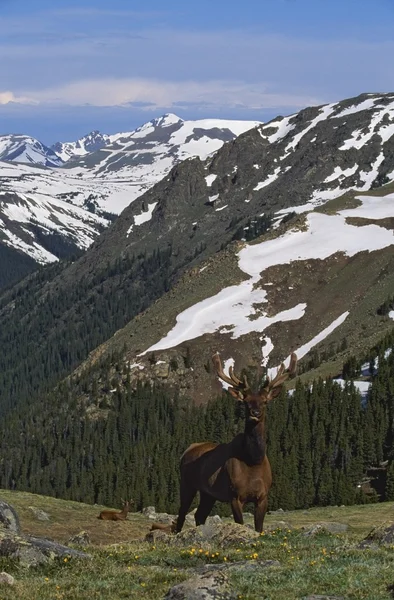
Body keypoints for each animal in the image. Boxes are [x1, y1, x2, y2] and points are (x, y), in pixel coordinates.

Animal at [175, 354, 296, 532]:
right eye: (245, 401)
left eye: (265, 401)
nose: (255, 413)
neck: (253, 461)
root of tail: (186, 451)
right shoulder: (234, 495)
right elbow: (240, 523)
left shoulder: (263, 496)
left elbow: (259, 528)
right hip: (187, 483)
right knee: (181, 514)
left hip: (208, 493)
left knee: (199, 515)